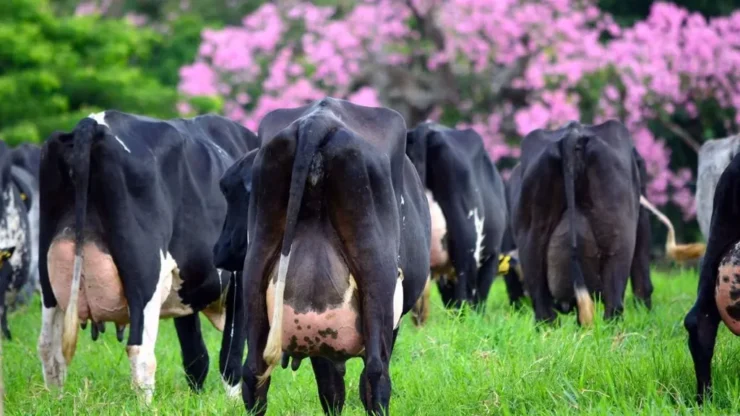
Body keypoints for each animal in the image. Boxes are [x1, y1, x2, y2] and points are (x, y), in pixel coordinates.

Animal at [37, 110, 259, 403]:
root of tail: (92, 123)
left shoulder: (185, 286)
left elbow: (195, 355)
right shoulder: (239, 279)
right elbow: (230, 356)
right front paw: (232, 403)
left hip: (48, 275)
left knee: (49, 348)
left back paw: (55, 402)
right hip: (145, 274)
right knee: (140, 350)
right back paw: (146, 405)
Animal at [238, 97, 430, 416]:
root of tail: (318, 118)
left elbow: (330, 387)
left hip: (255, 267)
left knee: (254, 373)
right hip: (377, 273)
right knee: (376, 373)